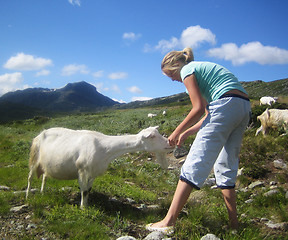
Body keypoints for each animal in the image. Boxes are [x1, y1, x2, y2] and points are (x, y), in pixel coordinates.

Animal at [25, 126, 172, 207]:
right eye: (152, 136)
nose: (169, 142)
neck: (105, 148)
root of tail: (40, 134)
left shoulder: (93, 172)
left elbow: (89, 190)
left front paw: (87, 204)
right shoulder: (83, 170)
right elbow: (84, 191)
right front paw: (83, 208)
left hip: (46, 165)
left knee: (44, 177)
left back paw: (42, 192)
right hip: (34, 159)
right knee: (30, 178)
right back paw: (27, 196)